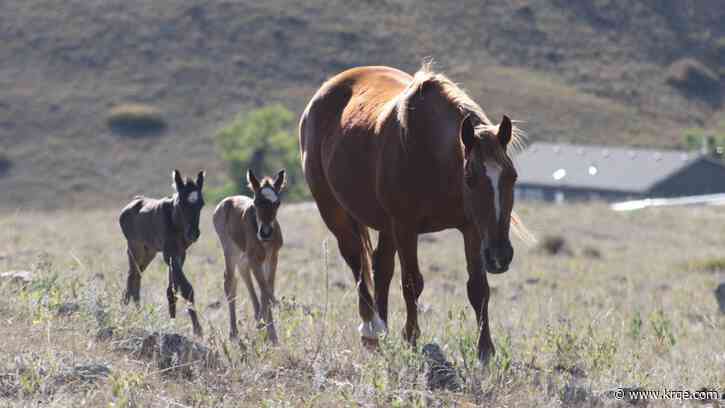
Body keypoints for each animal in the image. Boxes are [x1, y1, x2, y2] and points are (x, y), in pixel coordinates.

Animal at [119, 168, 204, 334]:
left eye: (201, 204)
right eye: (181, 203)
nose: (193, 234)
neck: (175, 221)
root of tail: (131, 204)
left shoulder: (180, 254)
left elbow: (172, 290)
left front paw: (173, 323)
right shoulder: (169, 254)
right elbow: (186, 288)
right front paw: (197, 330)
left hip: (149, 252)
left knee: (136, 277)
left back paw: (137, 312)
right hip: (135, 248)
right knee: (132, 276)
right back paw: (127, 311)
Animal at [211, 168, 284, 342]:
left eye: (277, 203)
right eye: (256, 202)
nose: (265, 233)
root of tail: (224, 202)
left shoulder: (272, 257)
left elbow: (267, 287)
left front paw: (267, 330)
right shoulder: (255, 259)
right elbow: (264, 288)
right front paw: (270, 332)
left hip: (243, 256)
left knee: (243, 275)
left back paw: (258, 320)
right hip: (230, 250)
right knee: (230, 281)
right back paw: (233, 333)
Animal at [300, 63, 528, 360]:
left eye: (513, 177)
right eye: (470, 179)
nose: (500, 256)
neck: (429, 153)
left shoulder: (472, 229)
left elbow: (478, 287)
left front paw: (485, 350)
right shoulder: (406, 227)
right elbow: (411, 282)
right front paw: (410, 337)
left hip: (386, 225)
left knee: (380, 267)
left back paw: (381, 330)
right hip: (335, 212)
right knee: (357, 263)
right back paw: (371, 329)